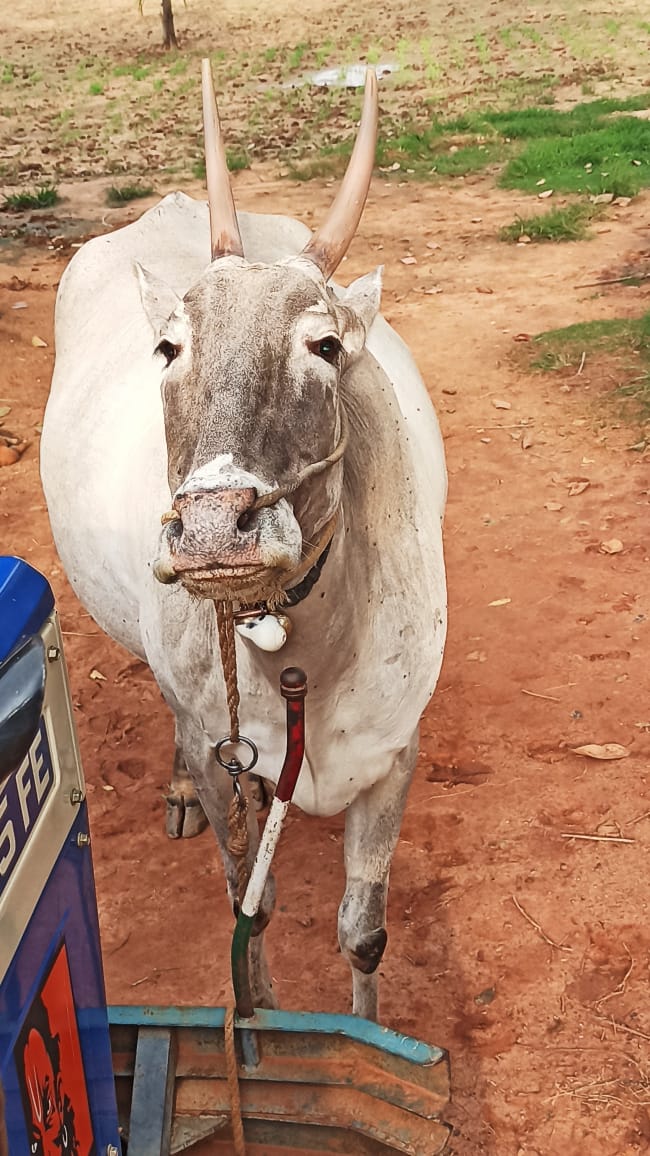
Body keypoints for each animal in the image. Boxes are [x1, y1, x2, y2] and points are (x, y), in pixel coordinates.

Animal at [40, 63, 447, 1021]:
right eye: (168, 347)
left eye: (326, 344)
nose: (212, 529)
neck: (300, 655)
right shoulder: (220, 740)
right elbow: (246, 910)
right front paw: (256, 1018)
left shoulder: (395, 756)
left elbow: (363, 932)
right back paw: (182, 789)